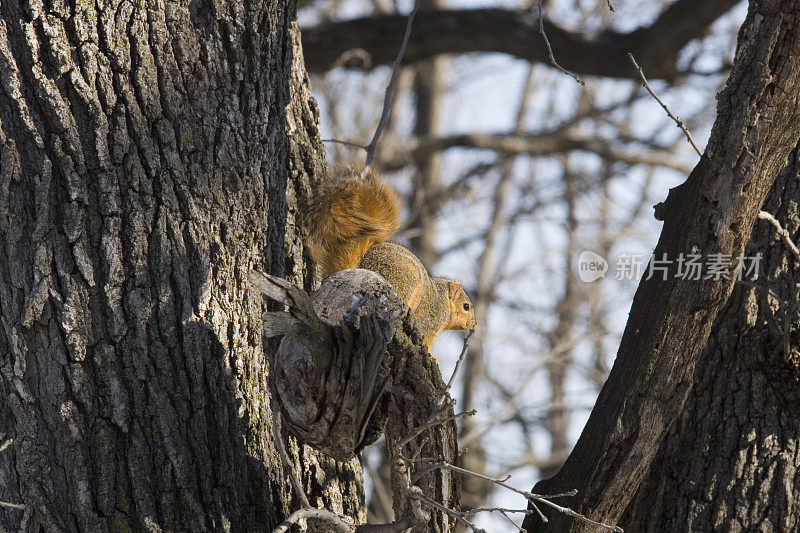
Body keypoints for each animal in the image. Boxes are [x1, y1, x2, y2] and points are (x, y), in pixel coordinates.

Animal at [304, 166, 472, 350]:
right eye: (466, 306)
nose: (473, 325)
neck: (444, 299)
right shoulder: (434, 314)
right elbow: (427, 337)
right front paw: (432, 354)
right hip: (404, 280)